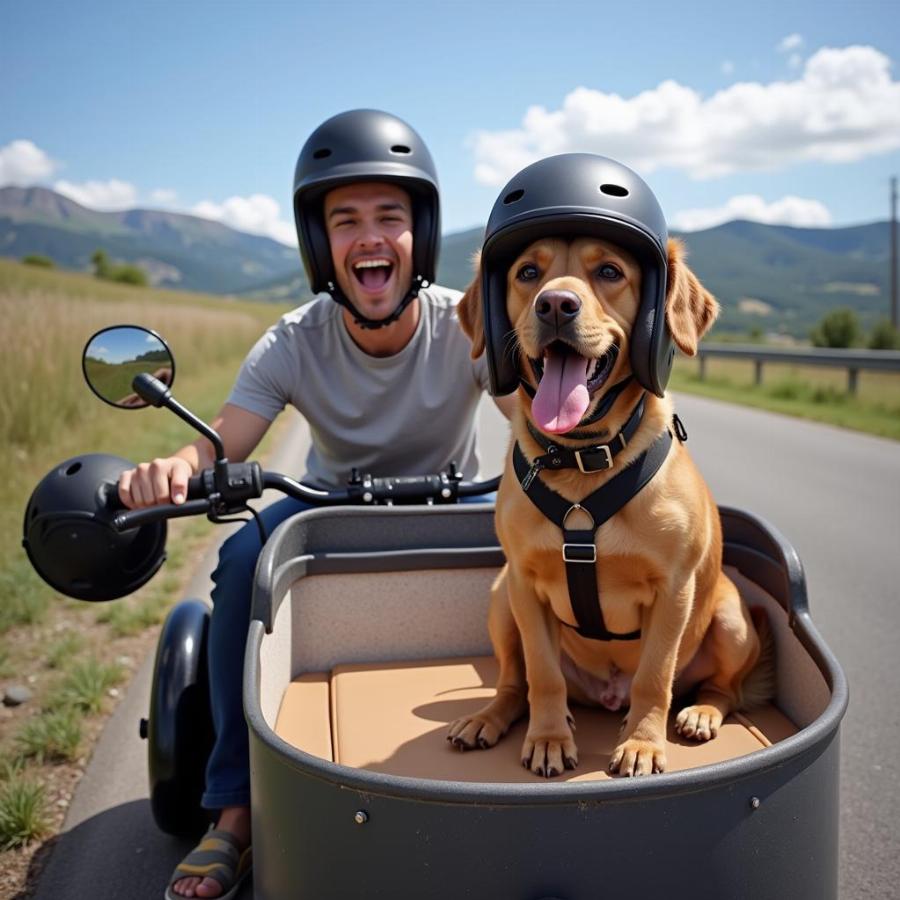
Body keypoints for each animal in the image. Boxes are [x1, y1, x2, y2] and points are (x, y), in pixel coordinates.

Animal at [446, 236, 768, 776]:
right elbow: (542, 674)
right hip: (500, 599)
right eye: (527, 272)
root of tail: (606, 694)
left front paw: (642, 743)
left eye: (611, 272)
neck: (582, 457)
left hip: (730, 619)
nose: (555, 304)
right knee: (515, 682)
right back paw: (489, 717)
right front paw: (549, 737)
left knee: (726, 689)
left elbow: (654, 678)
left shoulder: (673, 592)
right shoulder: (523, 586)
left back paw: (701, 712)